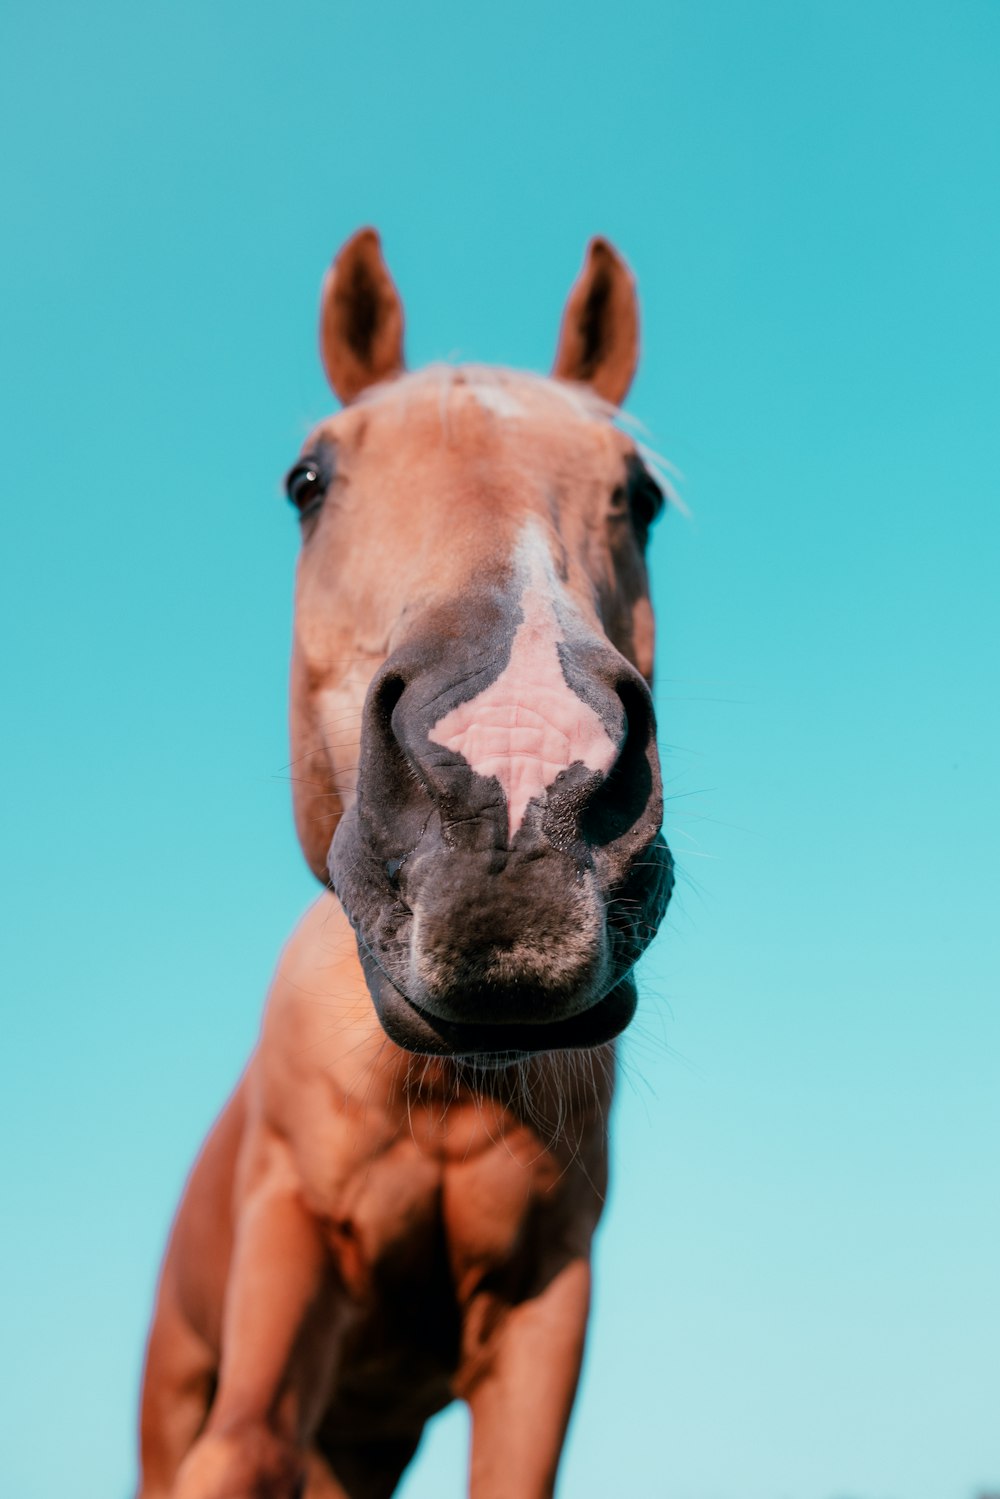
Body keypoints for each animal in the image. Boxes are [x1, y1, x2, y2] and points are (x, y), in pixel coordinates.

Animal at [137, 224, 677, 1499]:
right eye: (308, 481)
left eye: (637, 494)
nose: (521, 772)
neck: (430, 1091)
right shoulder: (275, 1319)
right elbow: (239, 1451)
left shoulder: (541, 1315)